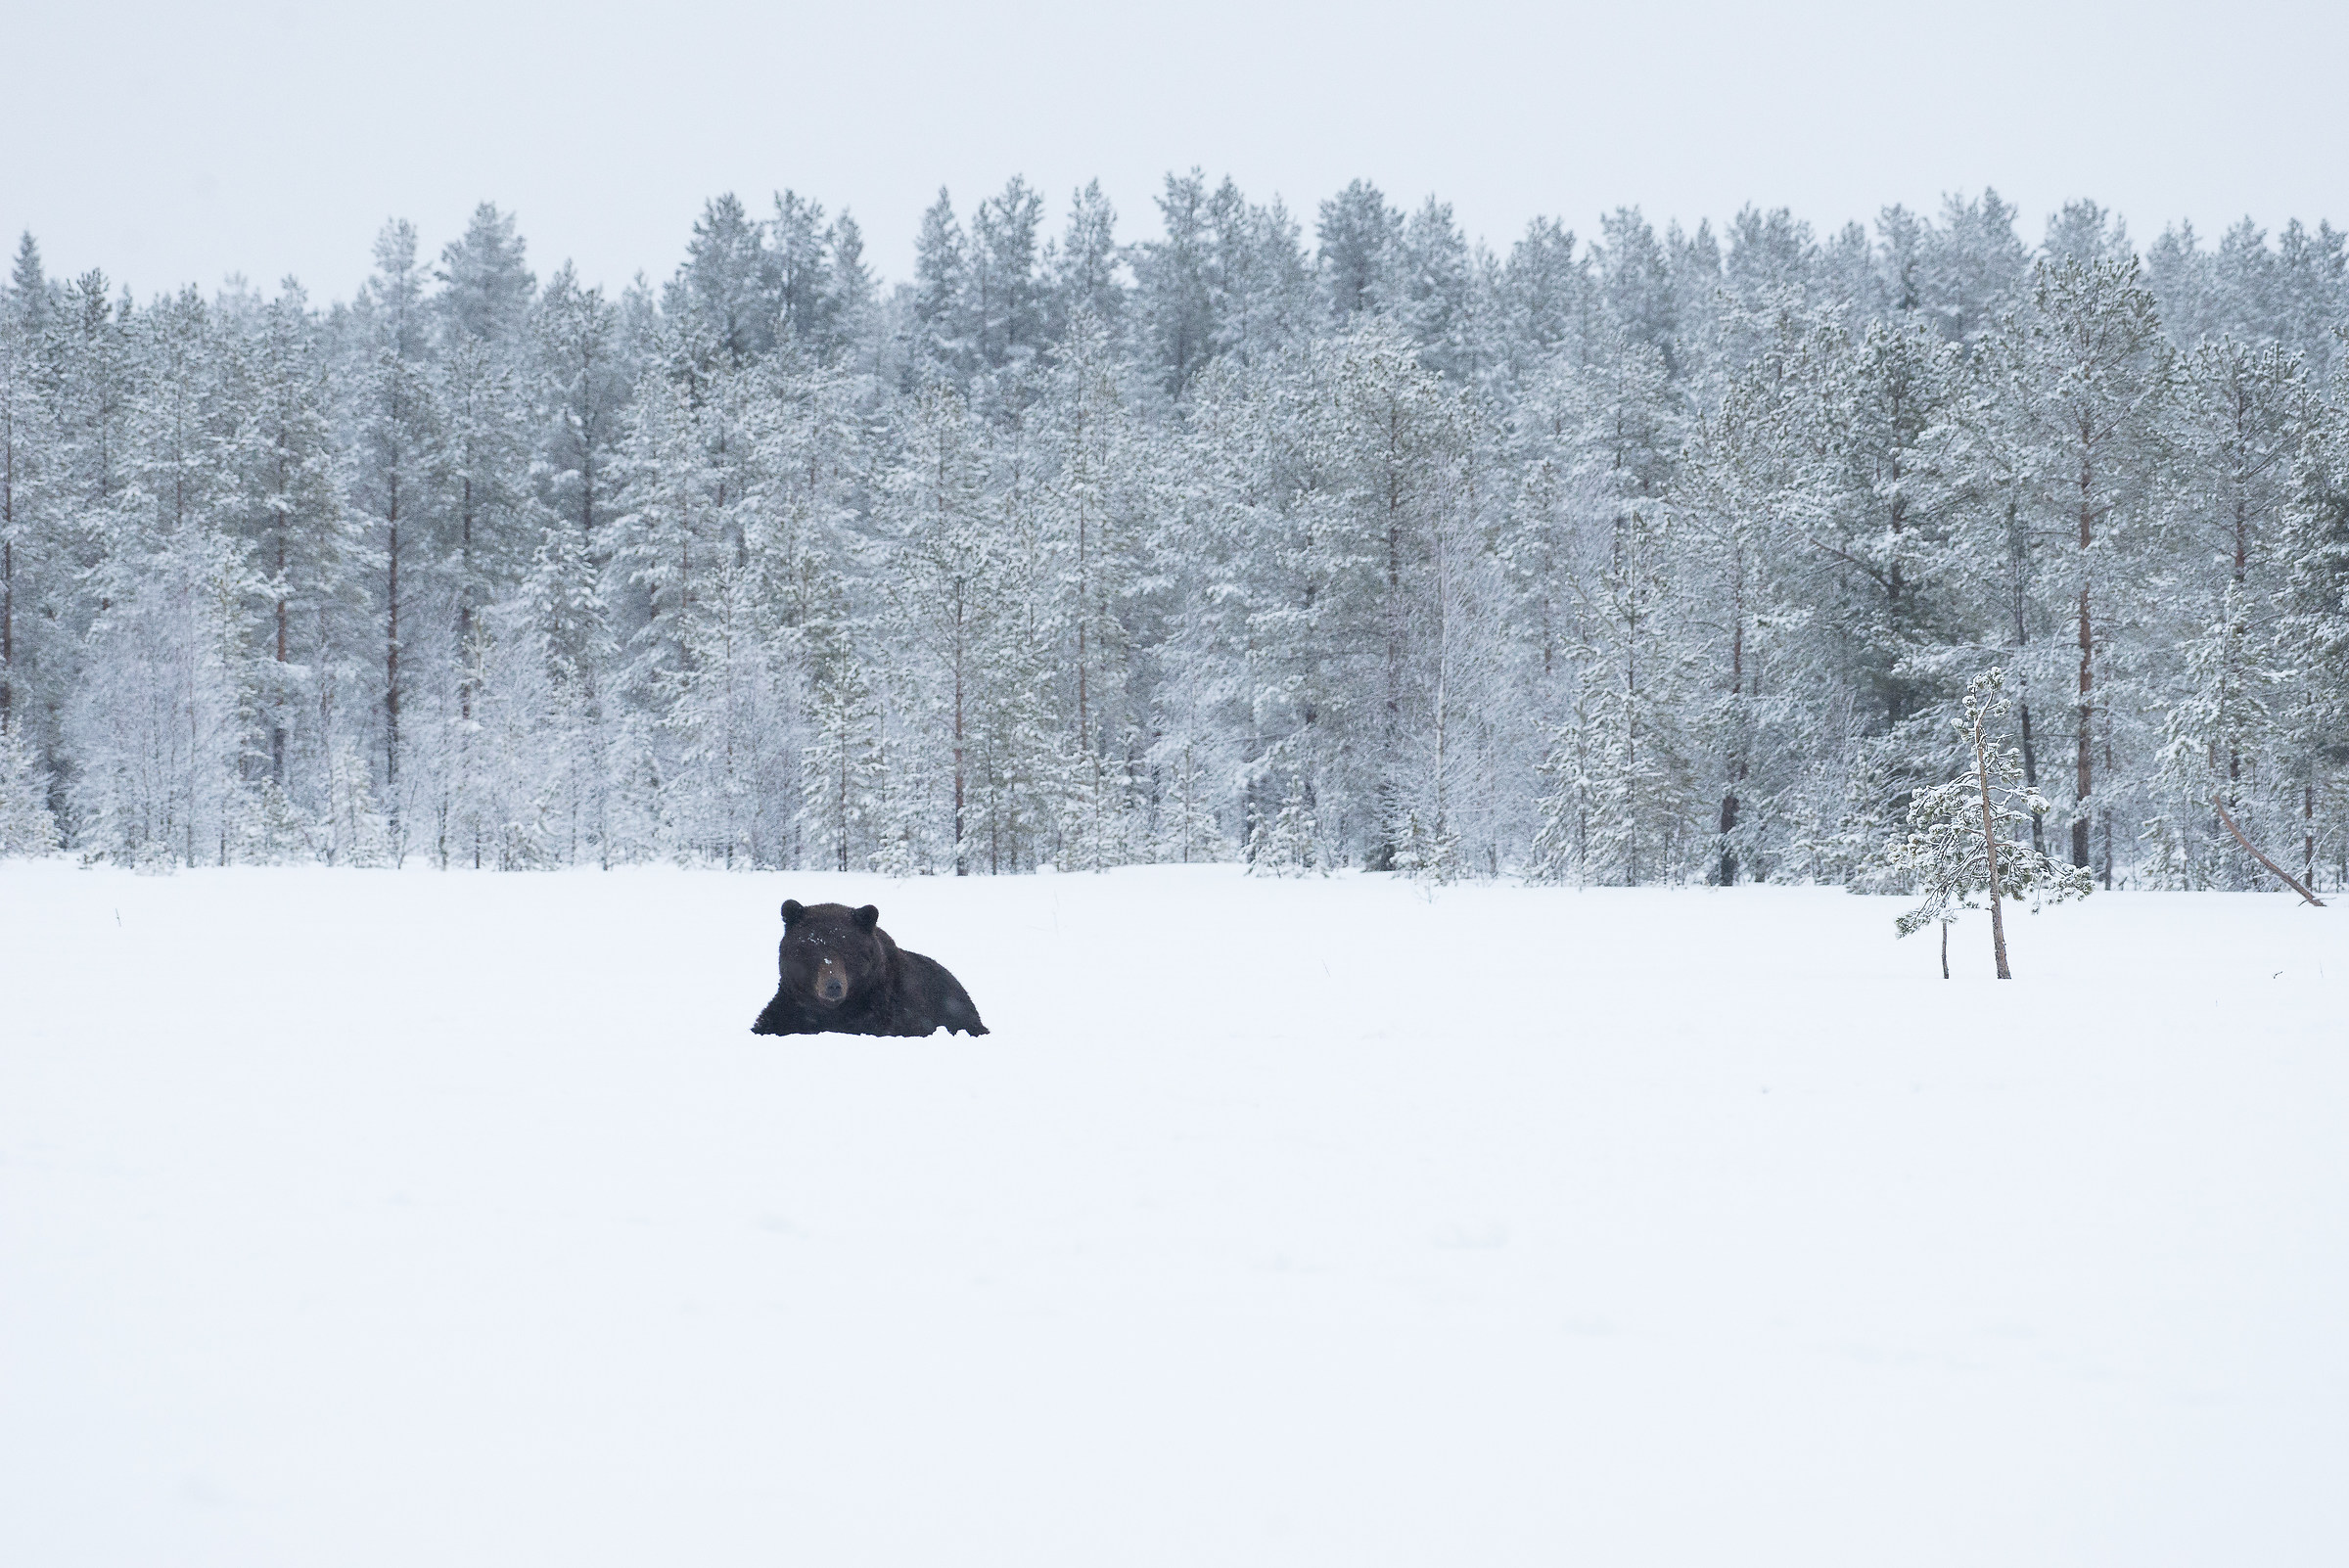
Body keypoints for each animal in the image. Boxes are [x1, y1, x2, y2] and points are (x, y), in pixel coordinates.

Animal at [749, 900, 989, 1038]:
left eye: (847, 951)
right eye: (812, 949)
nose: (833, 986)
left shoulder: (885, 1012)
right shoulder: (790, 1007)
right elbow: (768, 1023)